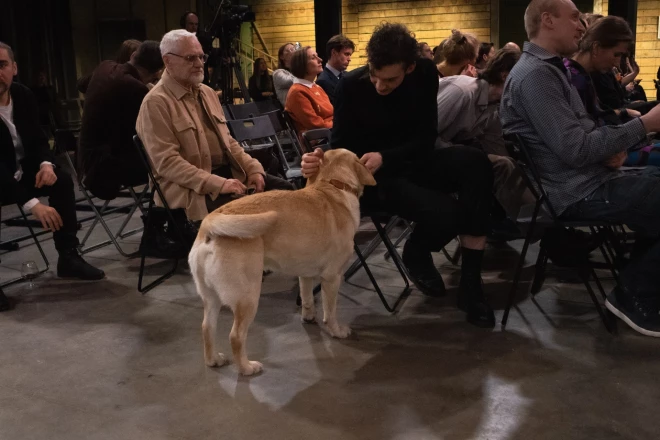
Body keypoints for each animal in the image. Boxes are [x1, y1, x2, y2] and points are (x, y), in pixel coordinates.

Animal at [191, 148, 376, 374]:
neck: (332, 184)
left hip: (211, 298)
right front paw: (337, 331)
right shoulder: (332, 278)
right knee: (235, 336)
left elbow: (306, 299)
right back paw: (247, 367)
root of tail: (209, 223)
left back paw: (213, 360)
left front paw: (308, 317)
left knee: (206, 327)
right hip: (248, 297)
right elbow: (330, 311)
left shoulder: (305, 275)